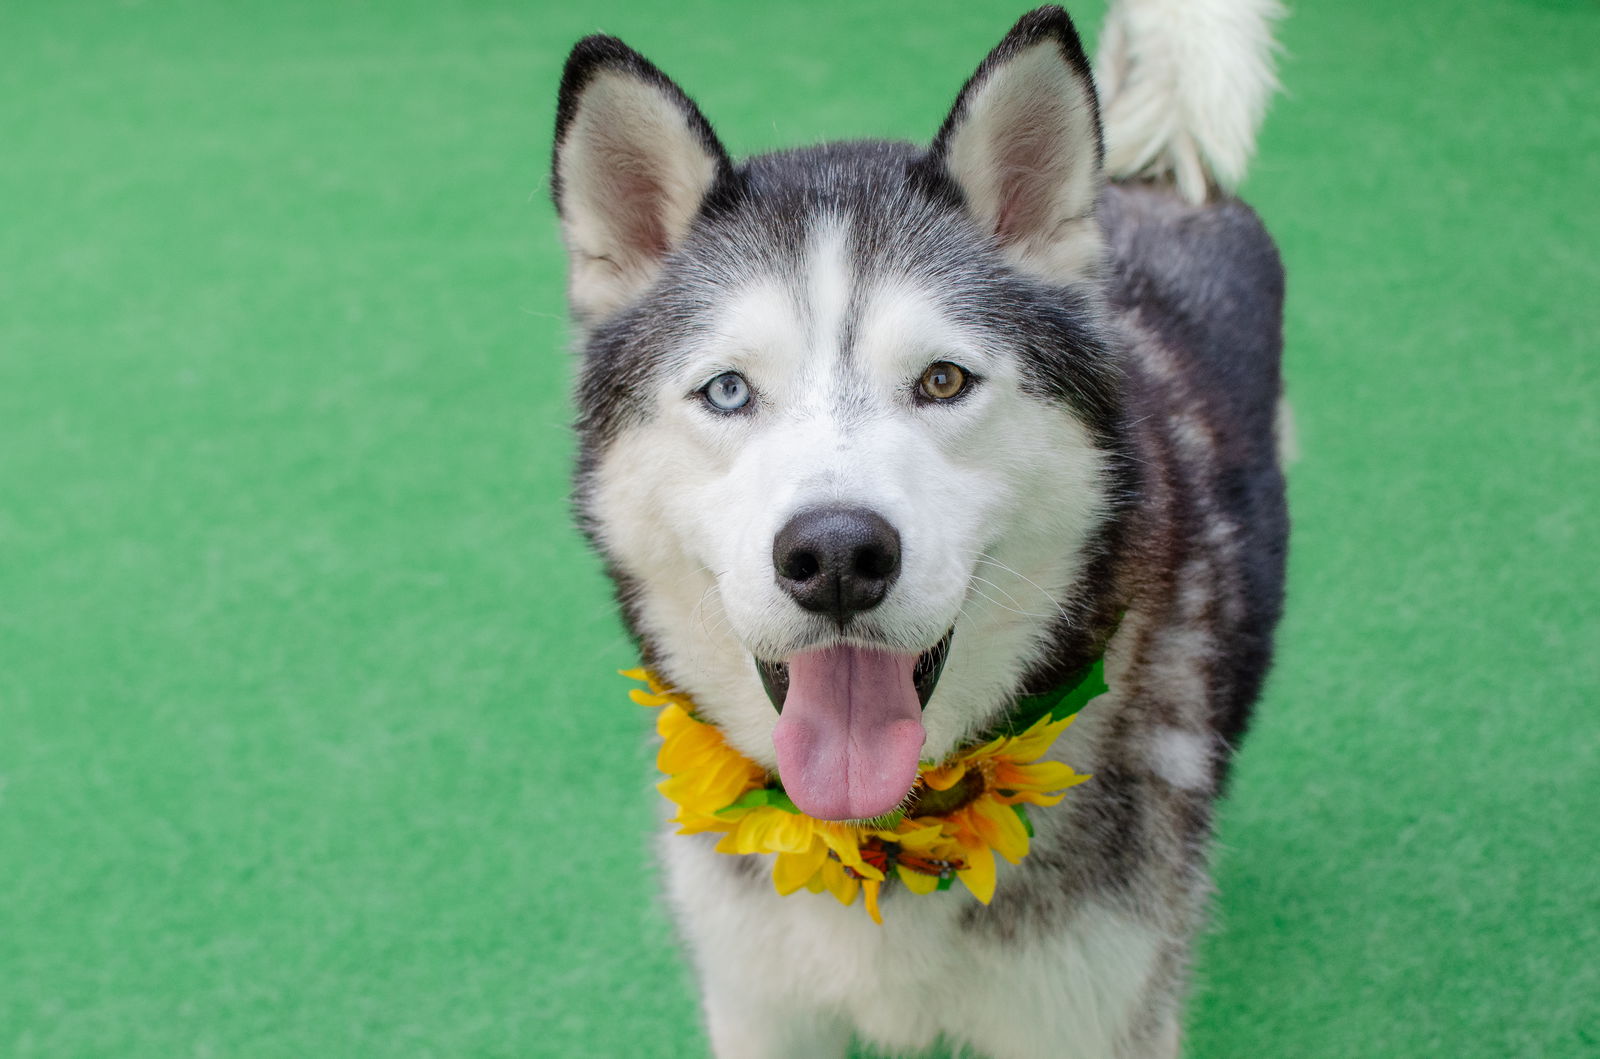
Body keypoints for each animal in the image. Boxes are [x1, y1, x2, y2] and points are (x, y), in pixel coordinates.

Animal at [550, 2, 1286, 1055]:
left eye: (943, 379)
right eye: (728, 391)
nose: (836, 555)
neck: (878, 831)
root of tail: (1148, 179)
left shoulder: (1091, 1014)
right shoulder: (758, 1004)